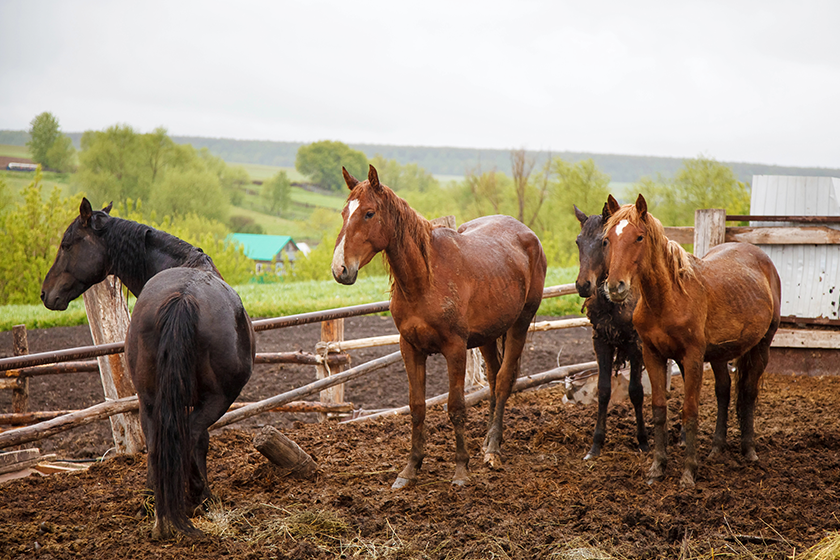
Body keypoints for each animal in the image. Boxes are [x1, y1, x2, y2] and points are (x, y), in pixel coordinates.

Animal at [41, 198, 254, 540]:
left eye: (66, 244)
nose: (45, 294)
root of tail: (184, 296)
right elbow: (201, 441)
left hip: (150, 398)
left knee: (158, 442)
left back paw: (157, 503)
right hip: (217, 398)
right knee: (191, 435)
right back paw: (197, 497)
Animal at [332, 164, 548, 488]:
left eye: (369, 213)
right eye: (345, 212)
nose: (340, 269)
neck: (424, 280)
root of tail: (527, 234)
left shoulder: (455, 349)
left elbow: (456, 407)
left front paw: (460, 470)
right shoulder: (410, 348)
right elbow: (417, 407)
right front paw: (410, 469)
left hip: (519, 325)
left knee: (504, 381)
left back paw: (493, 450)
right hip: (487, 336)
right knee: (494, 379)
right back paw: (488, 441)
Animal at [576, 202, 648, 460]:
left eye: (603, 242)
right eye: (578, 241)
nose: (582, 285)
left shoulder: (636, 345)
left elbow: (636, 391)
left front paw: (643, 441)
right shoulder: (601, 342)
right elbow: (604, 390)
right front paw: (596, 444)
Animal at [604, 195, 780, 488]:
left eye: (639, 237)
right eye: (607, 239)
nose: (615, 287)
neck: (667, 299)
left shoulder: (693, 358)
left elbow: (690, 411)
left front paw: (688, 473)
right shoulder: (653, 355)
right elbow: (659, 408)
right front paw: (657, 467)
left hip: (761, 346)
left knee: (748, 392)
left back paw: (749, 450)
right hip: (720, 355)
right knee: (724, 391)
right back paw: (717, 448)